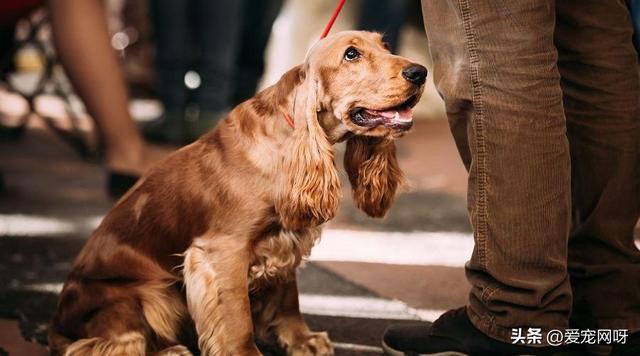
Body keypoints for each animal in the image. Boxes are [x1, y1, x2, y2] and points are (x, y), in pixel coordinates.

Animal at [48, 31, 424, 356]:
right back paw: (169, 351)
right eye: (351, 54)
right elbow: (236, 316)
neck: (289, 138)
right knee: (105, 344)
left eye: (385, 45)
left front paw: (302, 340)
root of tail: (57, 322)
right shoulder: (221, 252)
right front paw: (248, 352)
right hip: (147, 293)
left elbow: (289, 297)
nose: (420, 72)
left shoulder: (284, 238)